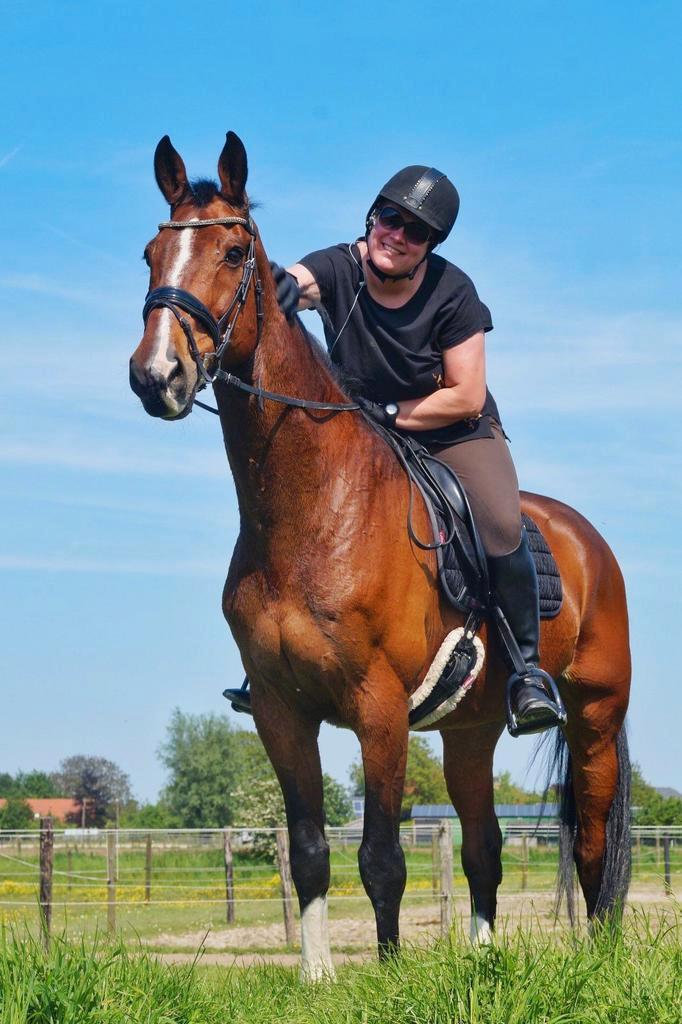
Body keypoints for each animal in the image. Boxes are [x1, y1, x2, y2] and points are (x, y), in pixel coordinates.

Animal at [129, 131, 631, 980]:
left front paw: (389, 974)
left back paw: (599, 958)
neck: (311, 513)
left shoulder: (379, 709)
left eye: (233, 251)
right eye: (150, 253)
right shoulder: (281, 712)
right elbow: (307, 853)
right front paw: (318, 978)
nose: (156, 375)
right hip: (470, 732)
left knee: (593, 843)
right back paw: (482, 958)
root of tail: (587, 540)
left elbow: (382, 859)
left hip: (595, 714)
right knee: (486, 847)